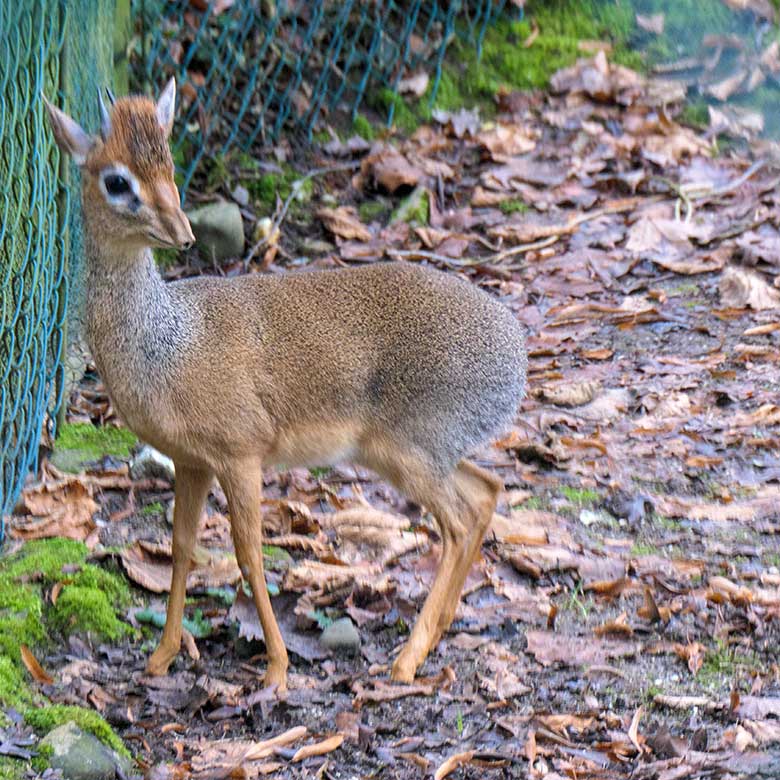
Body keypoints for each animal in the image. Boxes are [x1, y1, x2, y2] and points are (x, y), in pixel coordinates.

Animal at [45, 79, 528, 688]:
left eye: (170, 164)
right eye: (117, 180)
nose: (181, 234)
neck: (168, 344)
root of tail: (517, 356)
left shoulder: (240, 455)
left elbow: (249, 552)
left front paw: (276, 667)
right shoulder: (191, 461)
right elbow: (181, 548)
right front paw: (161, 656)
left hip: (412, 452)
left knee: (460, 523)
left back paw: (404, 662)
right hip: (418, 453)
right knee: (487, 491)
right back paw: (434, 634)